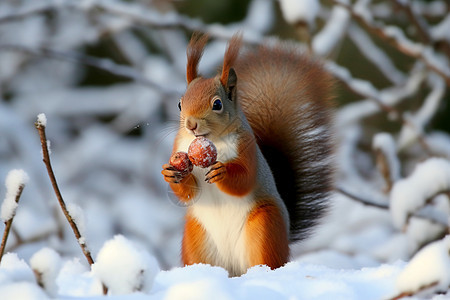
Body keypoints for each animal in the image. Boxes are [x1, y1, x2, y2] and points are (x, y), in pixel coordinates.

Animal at [162, 32, 334, 276]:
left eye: (217, 104)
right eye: (179, 103)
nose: (191, 124)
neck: (213, 139)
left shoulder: (247, 148)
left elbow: (244, 179)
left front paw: (222, 172)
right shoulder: (178, 146)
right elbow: (189, 192)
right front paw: (171, 173)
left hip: (264, 228)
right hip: (196, 238)